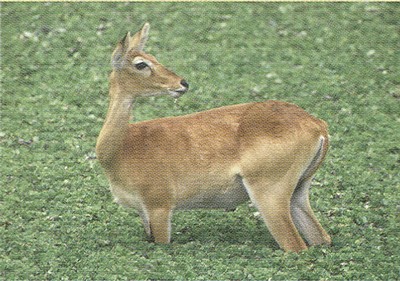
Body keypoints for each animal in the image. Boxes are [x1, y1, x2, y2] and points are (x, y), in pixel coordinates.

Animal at [97, 23, 332, 252]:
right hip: (299, 192)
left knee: (295, 245)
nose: (182, 83)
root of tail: (318, 125)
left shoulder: (160, 207)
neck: (121, 149)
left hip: (270, 196)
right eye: (142, 63)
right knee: (321, 238)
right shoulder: (143, 212)